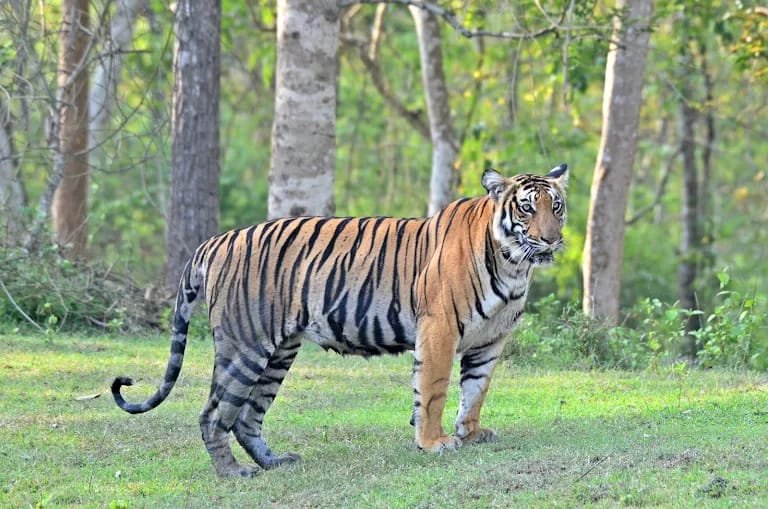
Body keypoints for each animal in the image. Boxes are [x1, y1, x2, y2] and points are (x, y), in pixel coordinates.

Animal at [112, 164, 569, 478]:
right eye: (527, 208)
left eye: (557, 207)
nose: (551, 239)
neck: (513, 266)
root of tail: (215, 240)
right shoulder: (439, 328)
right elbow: (434, 391)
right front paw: (433, 442)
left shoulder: (490, 340)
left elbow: (475, 392)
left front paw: (470, 434)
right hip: (244, 347)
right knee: (213, 415)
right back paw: (235, 473)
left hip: (278, 353)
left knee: (246, 416)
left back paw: (275, 461)